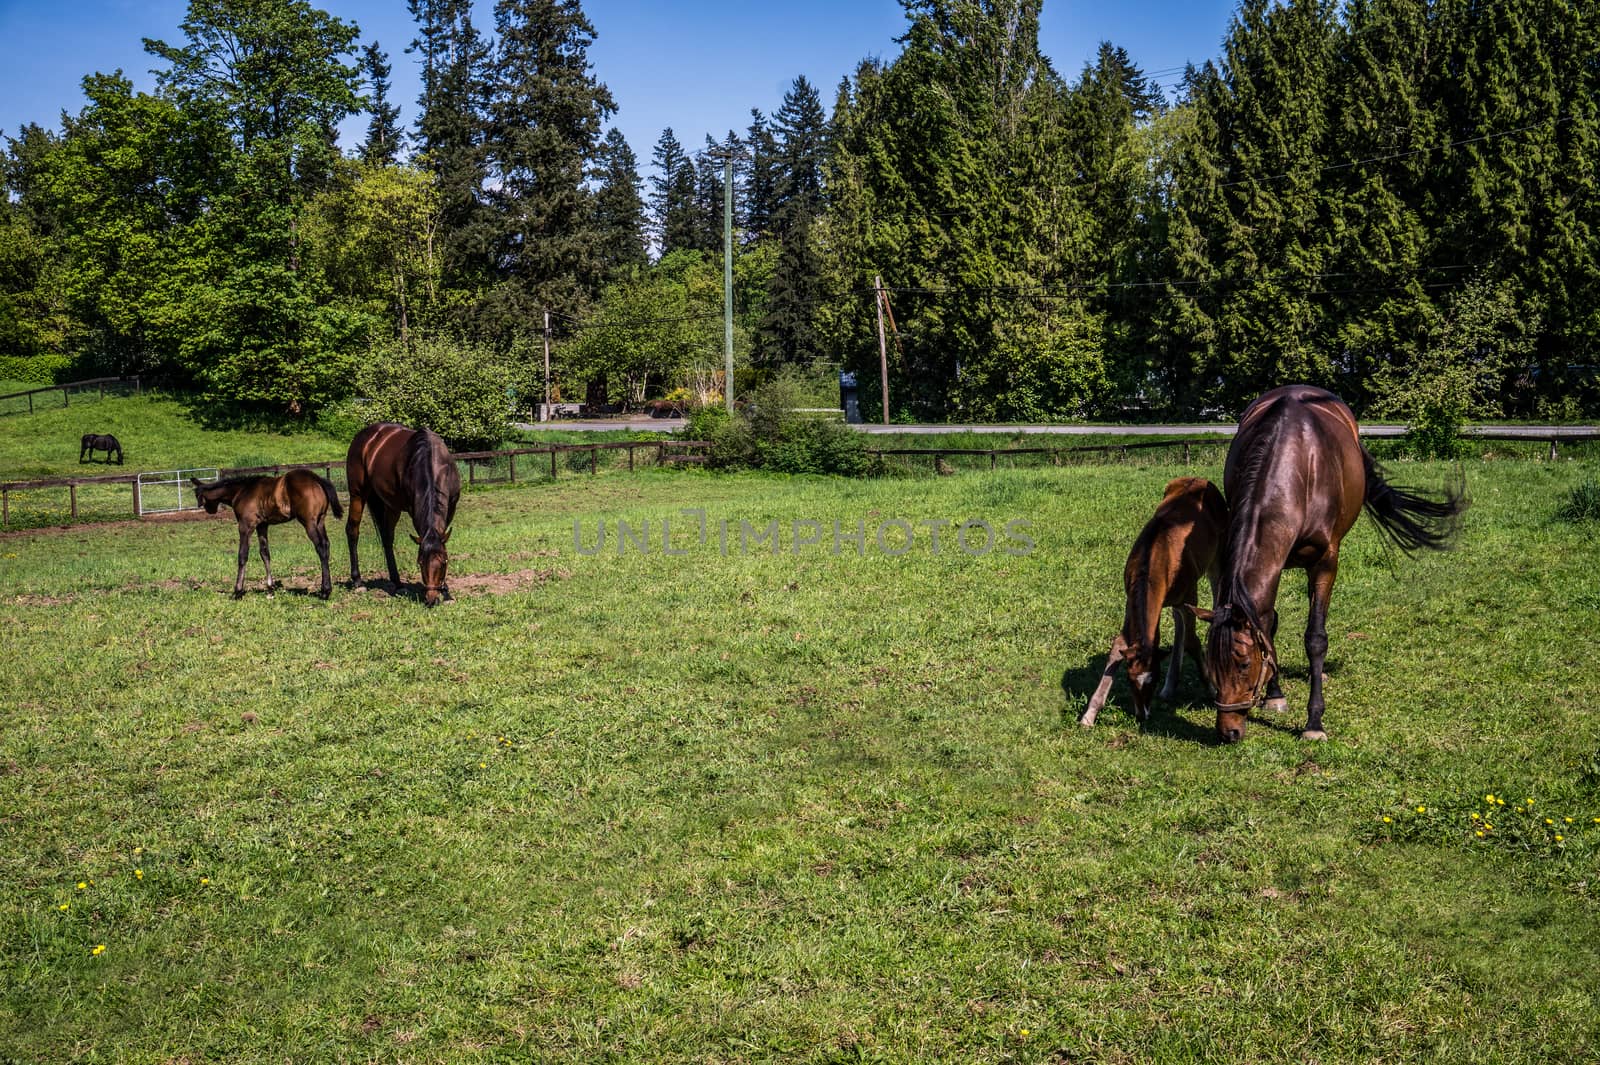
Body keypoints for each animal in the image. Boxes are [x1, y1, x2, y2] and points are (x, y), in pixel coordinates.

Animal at [193, 466, 344, 598]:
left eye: (197, 496)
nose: (209, 511)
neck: (241, 491)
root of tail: (316, 478)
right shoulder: (262, 525)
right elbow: (265, 553)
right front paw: (270, 588)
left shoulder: (245, 525)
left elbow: (243, 555)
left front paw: (238, 591)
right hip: (320, 521)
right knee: (326, 544)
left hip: (309, 522)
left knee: (321, 547)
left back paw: (325, 591)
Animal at [342, 422, 460, 604]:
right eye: (420, 563)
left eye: (444, 562)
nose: (431, 598)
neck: (433, 461)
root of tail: (364, 436)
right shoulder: (414, 510)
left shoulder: (451, 507)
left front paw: (447, 592)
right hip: (357, 494)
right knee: (352, 530)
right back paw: (358, 581)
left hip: (391, 506)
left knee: (386, 538)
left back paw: (397, 583)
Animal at [1081, 476, 1228, 725]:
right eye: (1130, 679)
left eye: (1155, 678)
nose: (1143, 714)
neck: (1156, 559)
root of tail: (1199, 479)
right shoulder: (1133, 601)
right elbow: (1119, 644)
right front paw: (1089, 714)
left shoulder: (1189, 594)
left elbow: (1192, 640)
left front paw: (1211, 687)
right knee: (1178, 623)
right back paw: (1171, 687)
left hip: (1216, 561)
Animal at [1203, 385, 1465, 741]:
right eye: (1211, 666)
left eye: (1243, 664)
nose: (1228, 731)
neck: (1296, 468)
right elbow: (1268, 624)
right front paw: (1275, 695)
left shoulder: (1326, 562)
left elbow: (1316, 638)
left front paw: (1314, 722)